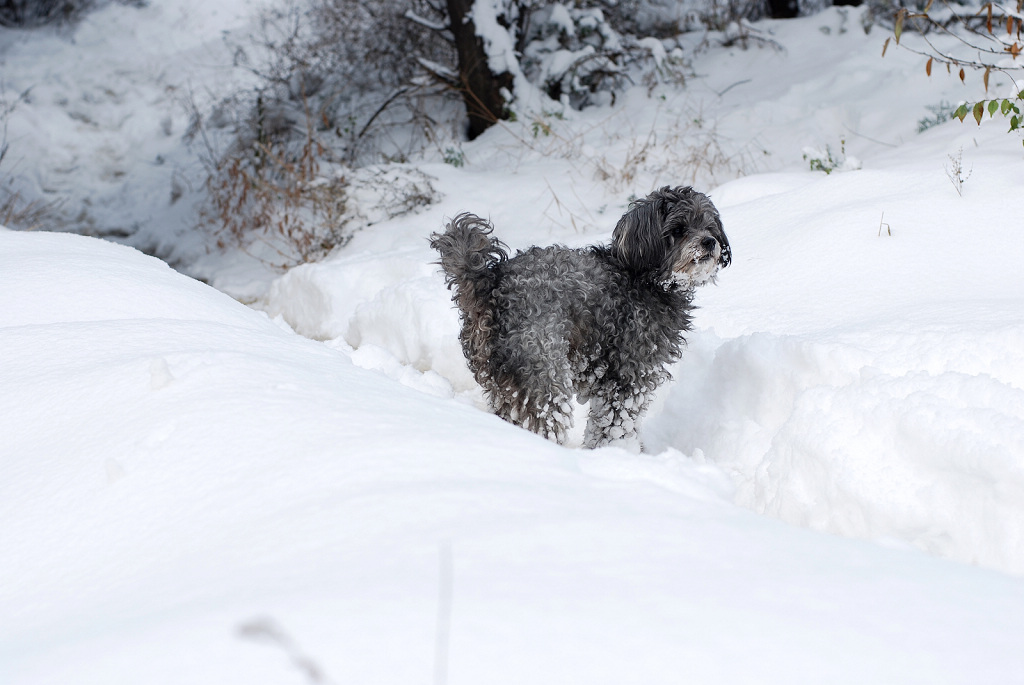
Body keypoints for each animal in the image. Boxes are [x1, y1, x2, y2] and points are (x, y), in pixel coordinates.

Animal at [430, 185, 729, 448]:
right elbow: (615, 426)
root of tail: (490, 283)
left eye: (709, 226)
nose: (710, 242)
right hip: (543, 375)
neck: (645, 277)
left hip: (508, 381)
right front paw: (619, 454)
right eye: (678, 229)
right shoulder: (628, 375)